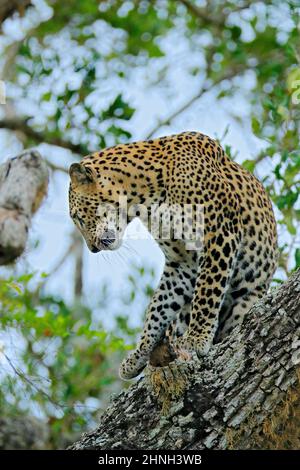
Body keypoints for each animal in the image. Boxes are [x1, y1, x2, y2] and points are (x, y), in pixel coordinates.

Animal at [68, 130, 276, 380]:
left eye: (78, 217)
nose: (92, 248)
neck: (144, 196)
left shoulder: (219, 234)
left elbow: (207, 292)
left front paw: (196, 339)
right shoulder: (182, 262)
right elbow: (159, 306)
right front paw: (138, 354)